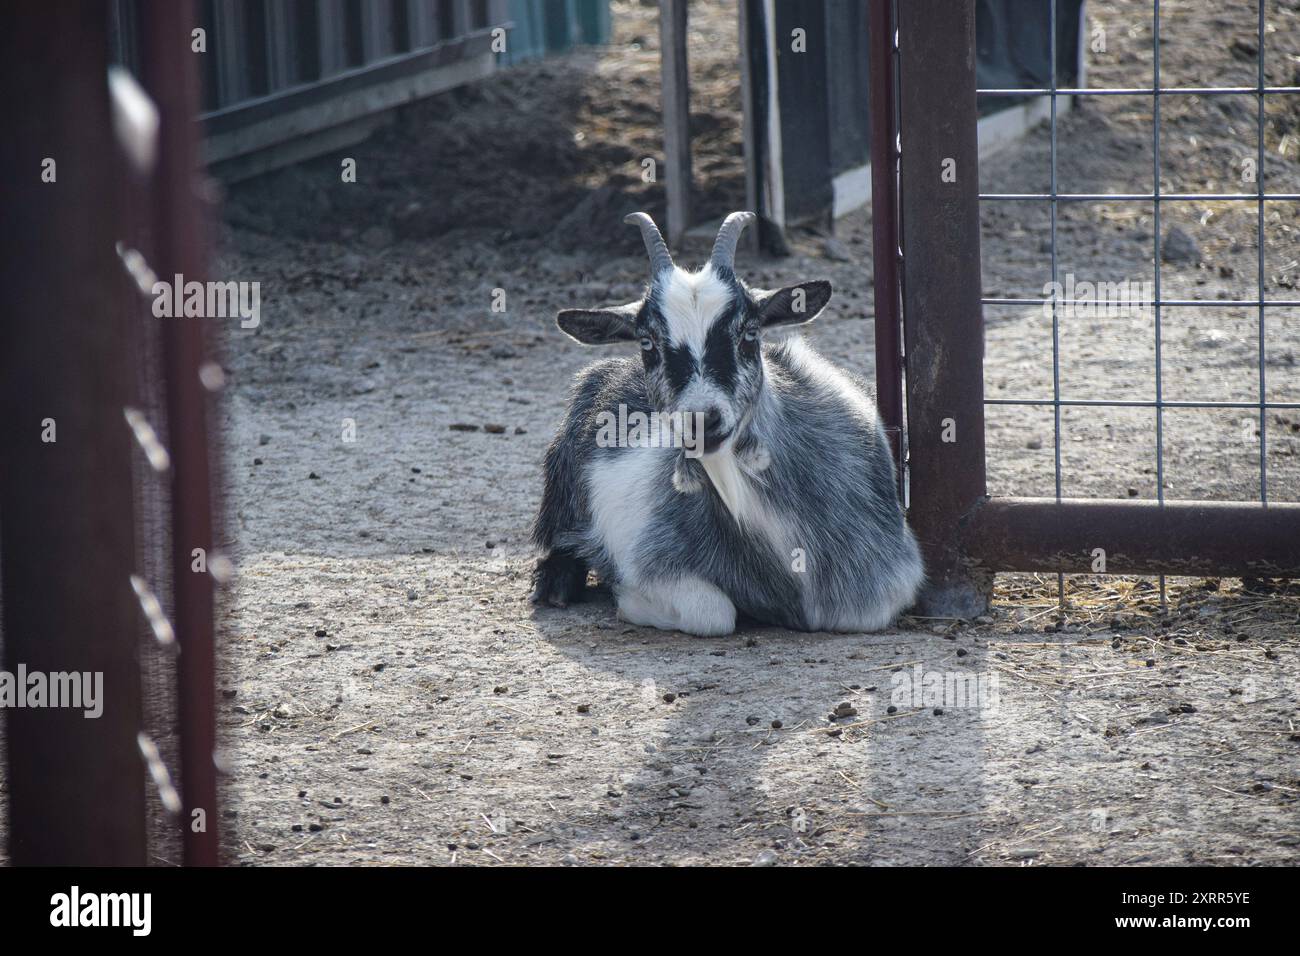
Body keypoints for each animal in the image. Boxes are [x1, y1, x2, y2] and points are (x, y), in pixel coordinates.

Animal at [533, 213, 930, 639]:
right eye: (647, 342)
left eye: (750, 333)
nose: (701, 420)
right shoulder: (652, 557)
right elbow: (712, 613)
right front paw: (627, 600)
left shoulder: (884, 583)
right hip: (562, 482)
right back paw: (556, 583)